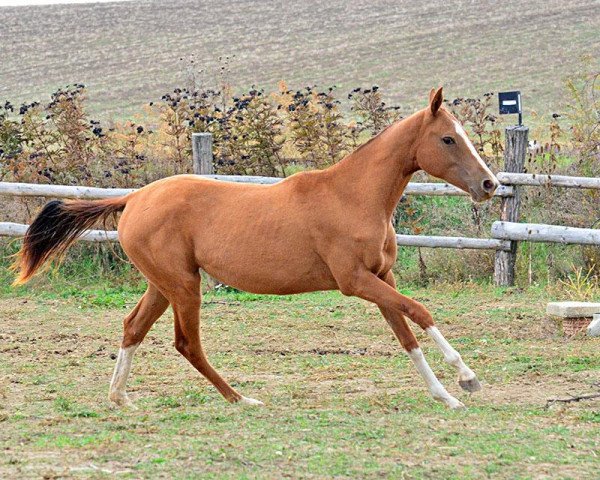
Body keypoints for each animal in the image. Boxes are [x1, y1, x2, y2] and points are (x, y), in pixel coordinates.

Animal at [12, 87, 496, 408]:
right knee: (187, 344)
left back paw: (120, 398)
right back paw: (240, 399)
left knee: (133, 327)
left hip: (163, 285)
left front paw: (445, 396)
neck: (353, 197)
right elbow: (420, 312)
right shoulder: (355, 281)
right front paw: (467, 378)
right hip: (184, 286)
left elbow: (405, 334)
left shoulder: (381, 277)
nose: (490, 184)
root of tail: (133, 199)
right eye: (448, 138)